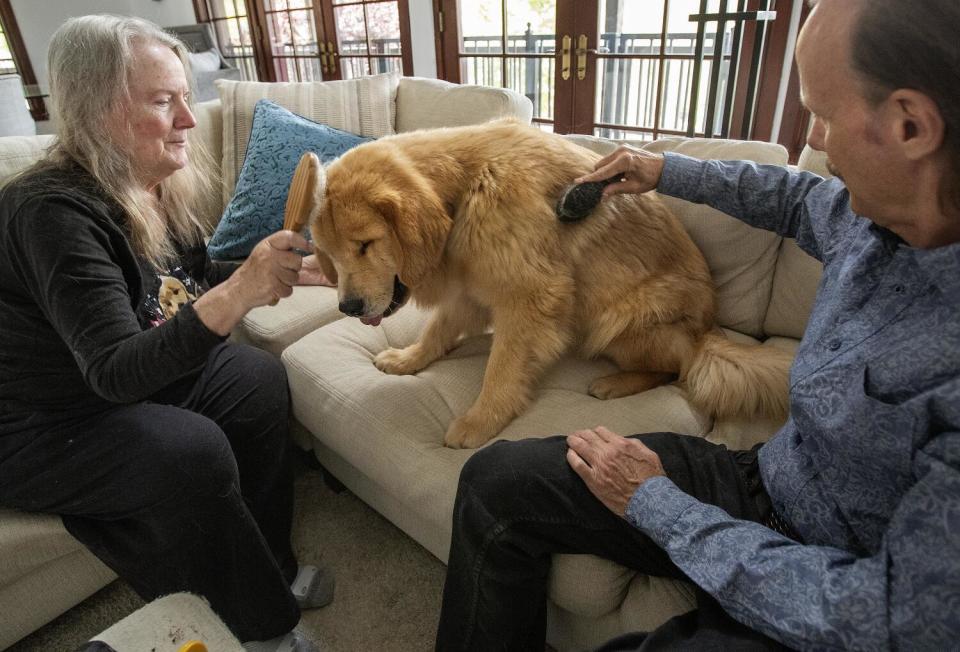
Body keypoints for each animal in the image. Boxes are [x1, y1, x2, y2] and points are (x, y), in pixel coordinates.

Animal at [308, 118, 788, 448]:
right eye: (331, 254)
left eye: (366, 244)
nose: (347, 308)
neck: (467, 187)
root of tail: (709, 332)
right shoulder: (471, 288)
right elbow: (437, 332)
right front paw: (410, 358)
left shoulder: (529, 299)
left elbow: (501, 369)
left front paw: (481, 420)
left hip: (618, 322)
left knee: (676, 367)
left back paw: (617, 382)